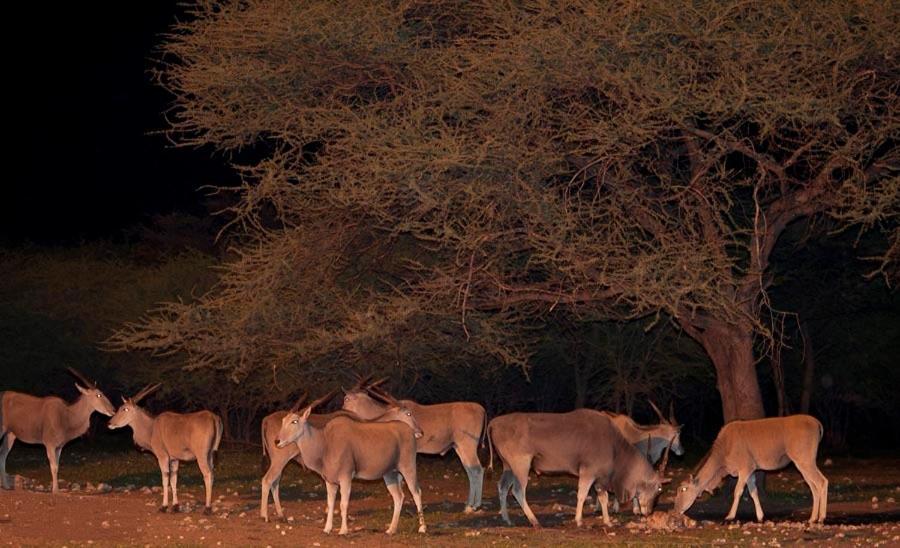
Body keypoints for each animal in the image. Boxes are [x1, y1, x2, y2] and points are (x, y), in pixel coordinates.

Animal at [278, 390, 426, 536]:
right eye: (283, 421)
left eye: (294, 421)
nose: (277, 441)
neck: (325, 442)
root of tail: (408, 430)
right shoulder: (330, 481)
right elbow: (330, 504)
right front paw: (327, 529)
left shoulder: (346, 477)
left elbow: (343, 504)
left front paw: (343, 530)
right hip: (390, 473)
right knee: (399, 497)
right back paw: (391, 529)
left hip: (408, 467)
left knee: (416, 492)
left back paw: (422, 528)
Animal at [486, 408, 668, 528]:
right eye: (659, 489)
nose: (649, 512)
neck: (614, 445)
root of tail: (493, 423)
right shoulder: (588, 472)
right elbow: (582, 495)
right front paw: (579, 520)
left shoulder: (599, 478)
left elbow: (603, 498)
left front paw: (608, 521)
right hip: (521, 465)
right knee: (517, 490)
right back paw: (534, 521)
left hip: (508, 466)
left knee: (502, 486)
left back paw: (506, 518)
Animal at [676, 414, 828, 524]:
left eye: (683, 489)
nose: (676, 509)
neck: (724, 448)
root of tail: (816, 423)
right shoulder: (751, 472)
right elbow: (753, 492)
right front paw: (760, 516)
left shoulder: (745, 469)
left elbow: (738, 491)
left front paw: (730, 516)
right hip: (803, 464)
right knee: (813, 486)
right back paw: (812, 518)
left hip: (805, 461)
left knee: (822, 481)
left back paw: (821, 518)